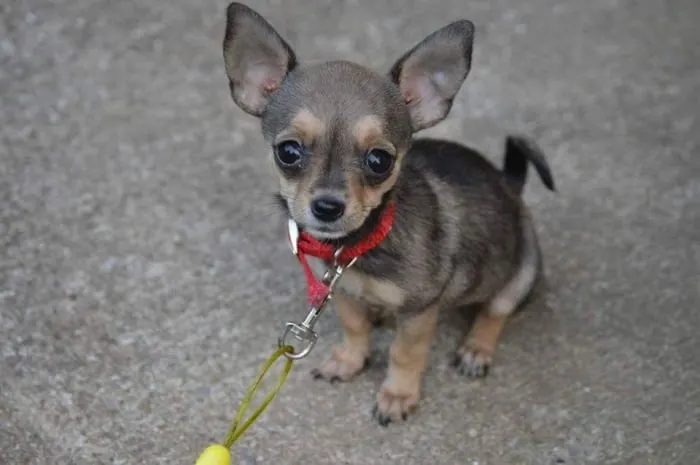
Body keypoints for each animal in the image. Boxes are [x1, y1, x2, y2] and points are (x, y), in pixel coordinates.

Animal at [221, 2, 556, 424]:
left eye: (379, 160)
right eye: (289, 151)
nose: (327, 206)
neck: (358, 246)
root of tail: (509, 183)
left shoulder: (419, 311)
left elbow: (404, 353)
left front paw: (397, 395)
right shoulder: (344, 291)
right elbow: (354, 326)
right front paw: (349, 360)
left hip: (521, 274)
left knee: (495, 312)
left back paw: (476, 348)